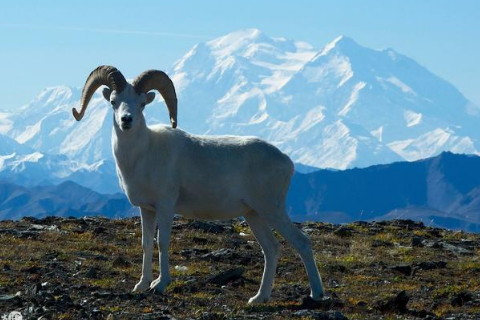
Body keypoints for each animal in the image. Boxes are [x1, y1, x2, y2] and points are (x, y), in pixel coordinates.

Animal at [73, 66, 324, 304]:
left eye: (142, 104)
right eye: (114, 102)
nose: (127, 120)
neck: (143, 155)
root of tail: (286, 161)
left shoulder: (166, 207)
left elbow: (162, 242)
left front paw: (160, 284)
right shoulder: (147, 209)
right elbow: (146, 244)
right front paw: (141, 285)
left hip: (272, 209)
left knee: (302, 242)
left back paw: (316, 294)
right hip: (254, 214)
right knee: (271, 249)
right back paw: (259, 298)